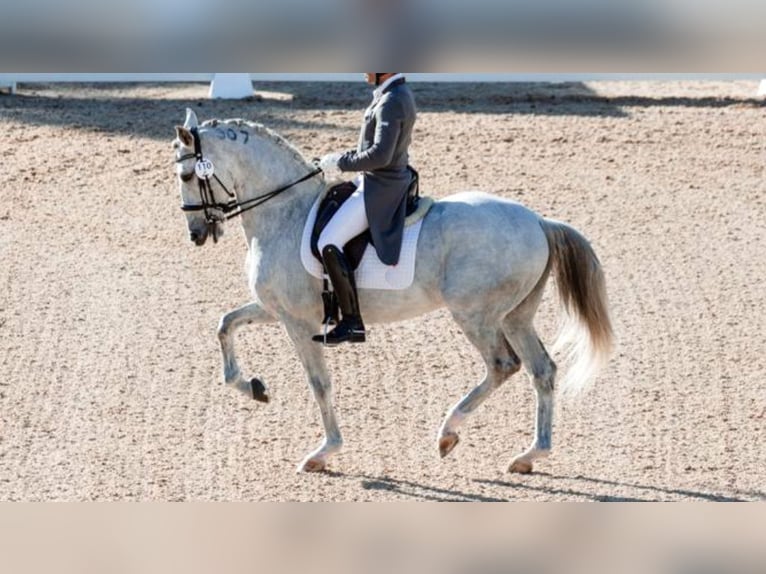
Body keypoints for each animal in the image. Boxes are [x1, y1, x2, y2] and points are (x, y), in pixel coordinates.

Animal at [176, 109, 616, 476]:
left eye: (185, 177)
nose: (197, 233)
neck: (286, 211)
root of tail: (539, 221)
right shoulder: (277, 309)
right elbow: (225, 325)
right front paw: (253, 388)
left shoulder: (298, 322)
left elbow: (319, 383)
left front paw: (323, 452)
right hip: (516, 316)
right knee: (543, 370)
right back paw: (529, 455)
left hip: (476, 314)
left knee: (502, 365)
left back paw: (448, 433)